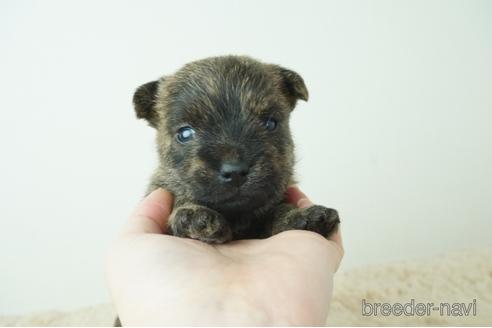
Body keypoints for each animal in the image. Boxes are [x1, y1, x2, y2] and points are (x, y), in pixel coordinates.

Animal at [135, 54, 342, 243]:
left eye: (270, 123)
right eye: (185, 134)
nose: (234, 172)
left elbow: (279, 210)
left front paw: (301, 216)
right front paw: (193, 215)